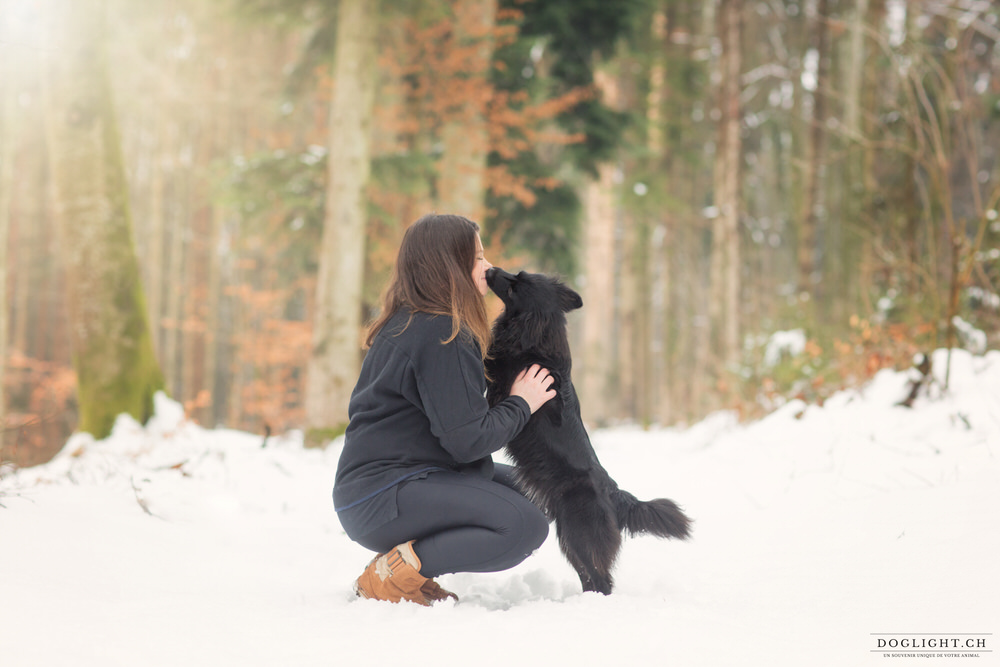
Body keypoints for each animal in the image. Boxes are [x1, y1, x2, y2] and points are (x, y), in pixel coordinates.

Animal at [482, 266, 688, 596]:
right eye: (517, 273)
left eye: (515, 286)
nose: (489, 268)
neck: (536, 337)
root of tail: (613, 493)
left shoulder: (500, 388)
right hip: (569, 535)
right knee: (589, 575)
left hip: (580, 533)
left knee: (601, 577)